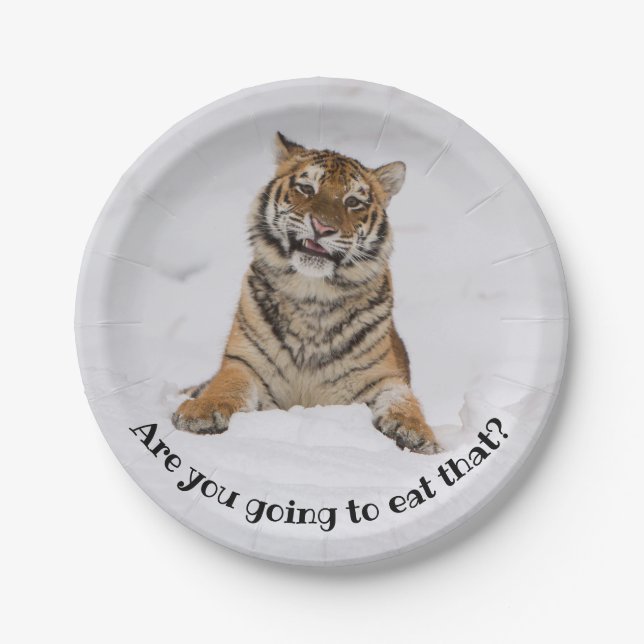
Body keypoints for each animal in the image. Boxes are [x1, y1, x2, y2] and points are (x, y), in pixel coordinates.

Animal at [172, 132, 441, 454]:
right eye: (306, 188)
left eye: (353, 201)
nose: (322, 227)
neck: (314, 295)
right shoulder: (245, 362)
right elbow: (226, 386)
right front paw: (200, 412)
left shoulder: (381, 376)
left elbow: (403, 400)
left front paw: (416, 433)